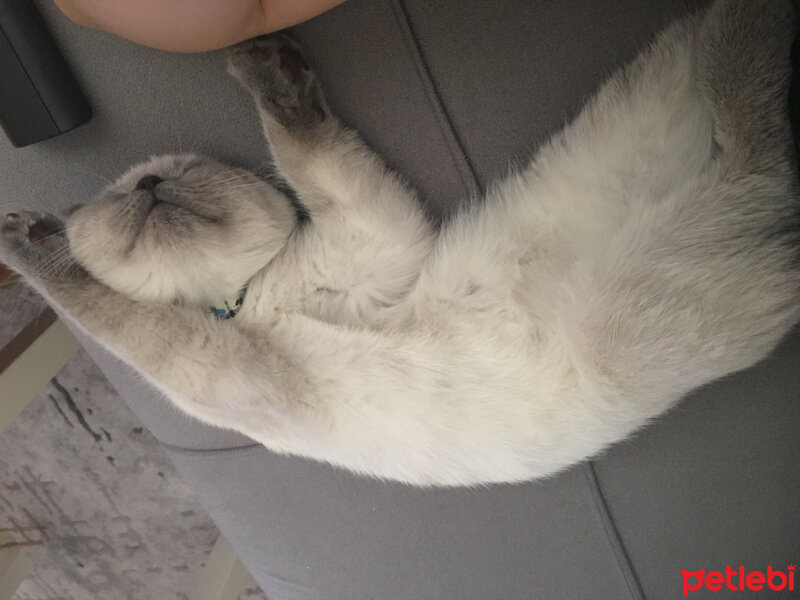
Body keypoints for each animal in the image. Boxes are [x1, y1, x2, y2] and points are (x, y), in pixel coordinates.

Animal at [1, 0, 800, 488]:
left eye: (178, 175)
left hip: (633, 238)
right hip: (633, 215)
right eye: (128, 194)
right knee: (759, 157)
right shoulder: (237, 355)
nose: (150, 187)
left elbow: (298, 148)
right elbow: (112, 312)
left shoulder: (369, 244)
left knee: (759, 154)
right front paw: (29, 236)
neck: (244, 302)